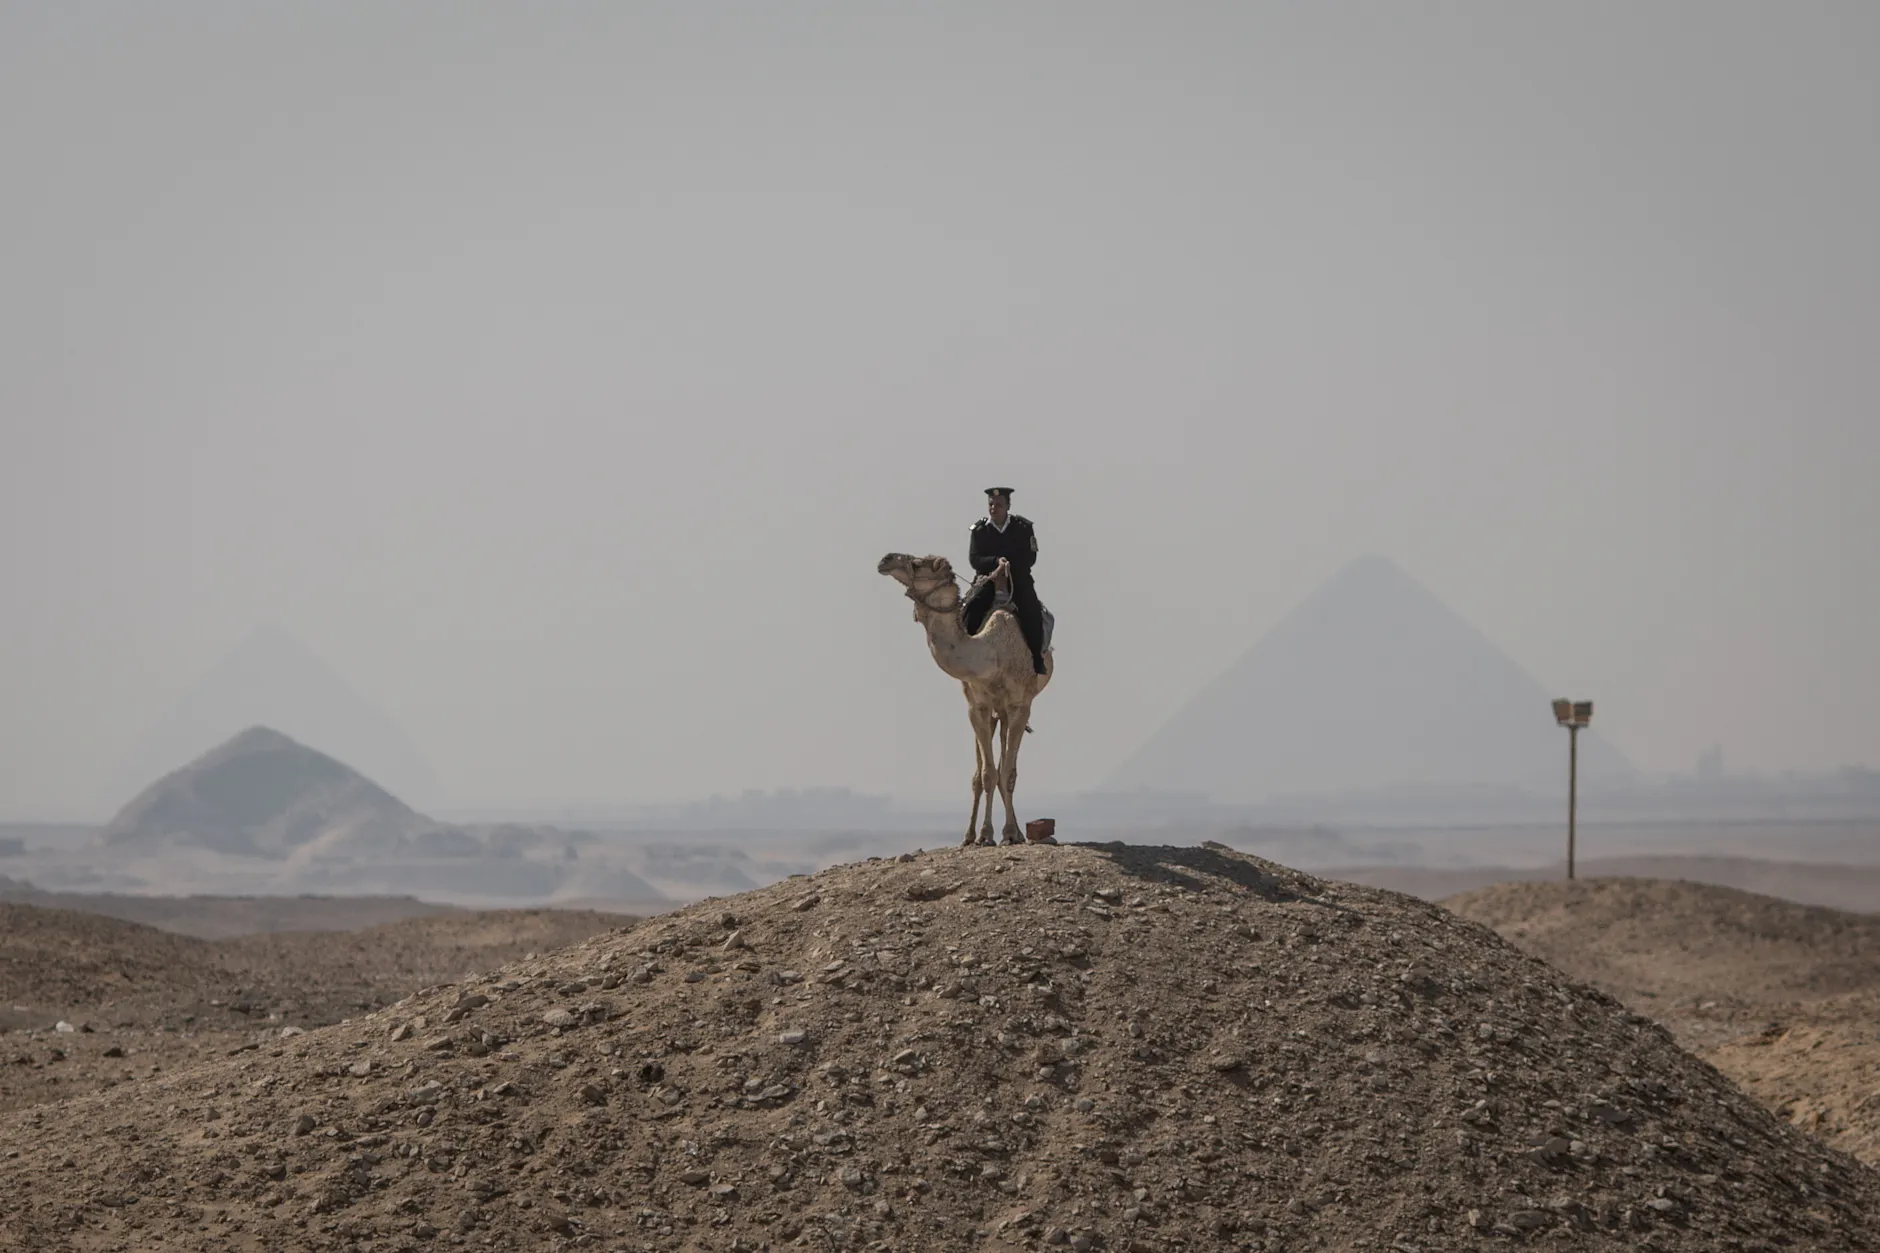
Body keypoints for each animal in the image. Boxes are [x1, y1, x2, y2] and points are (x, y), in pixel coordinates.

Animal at [877, 552, 1053, 846]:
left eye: (918, 564)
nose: (885, 560)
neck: (991, 654)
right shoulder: (977, 707)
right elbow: (986, 774)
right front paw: (983, 835)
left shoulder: (1020, 705)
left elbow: (1007, 773)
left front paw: (1007, 833)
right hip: (991, 712)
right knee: (984, 771)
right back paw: (972, 835)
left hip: (1009, 710)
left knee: (1005, 763)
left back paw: (1016, 831)